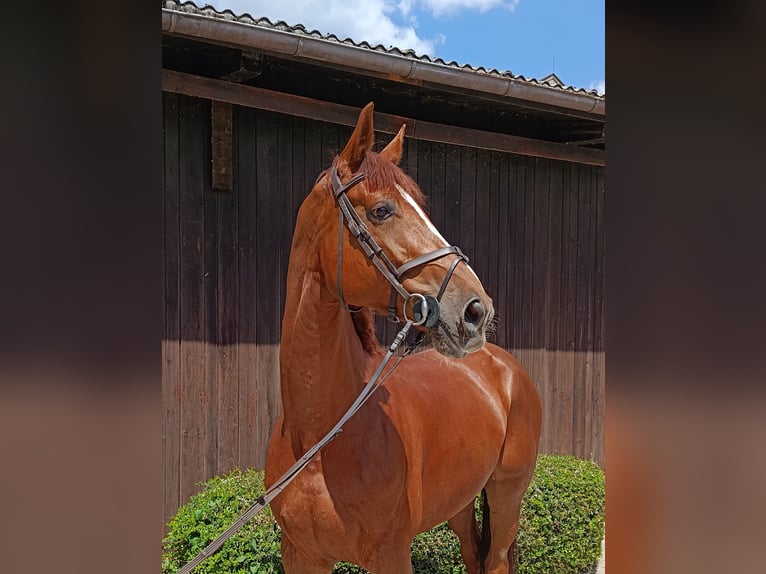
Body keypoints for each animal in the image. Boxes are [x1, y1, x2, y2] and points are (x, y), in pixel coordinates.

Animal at [264, 102, 542, 574]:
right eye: (381, 210)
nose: (476, 310)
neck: (320, 441)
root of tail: (506, 368)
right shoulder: (301, 557)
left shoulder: (392, 555)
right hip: (459, 504)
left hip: (507, 495)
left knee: (497, 559)